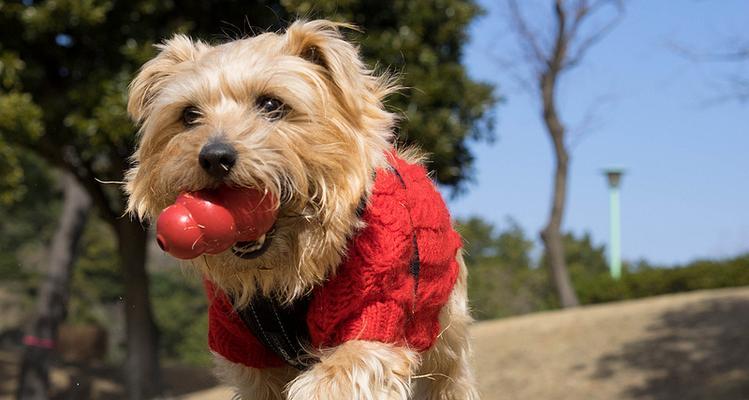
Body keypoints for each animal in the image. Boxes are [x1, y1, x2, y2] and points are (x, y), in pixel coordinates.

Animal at [122, 19, 474, 400]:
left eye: (272, 104)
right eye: (189, 115)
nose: (214, 156)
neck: (282, 279)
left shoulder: (375, 314)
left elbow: (339, 374)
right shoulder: (244, 351)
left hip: (446, 333)